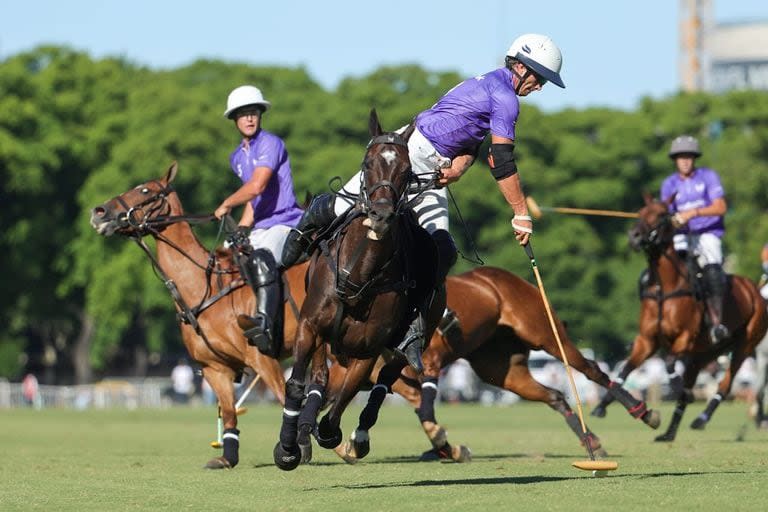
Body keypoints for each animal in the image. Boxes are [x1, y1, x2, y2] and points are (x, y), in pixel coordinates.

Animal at [89, 163, 306, 468]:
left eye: (145, 190)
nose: (99, 212)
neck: (206, 288)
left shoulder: (261, 358)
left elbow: (284, 397)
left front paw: (298, 449)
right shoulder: (215, 367)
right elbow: (229, 412)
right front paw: (226, 457)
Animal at [272, 111, 448, 472]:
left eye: (407, 170)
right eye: (368, 163)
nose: (380, 215)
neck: (359, 277)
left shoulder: (368, 350)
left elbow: (344, 400)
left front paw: (328, 434)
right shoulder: (310, 326)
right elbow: (299, 384)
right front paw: (288, 447)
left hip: (407, 343)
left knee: (384, 382)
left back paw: (358, 436)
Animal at [332, 266, 664, 462]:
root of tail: (509, 277)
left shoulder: (429, 362)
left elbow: (425, 408)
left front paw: (445, 445)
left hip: (544, 332)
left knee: (590, 369)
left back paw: (644, 413)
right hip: (501, 369)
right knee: (554, 395)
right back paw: (591, 442)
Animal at [592, 194, 764, 442]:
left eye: (662, 215)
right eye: (640, 211)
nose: (634, 237)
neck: (665, 287)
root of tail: (755, 289)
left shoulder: (685, 337)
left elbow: (670, 363)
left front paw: (676, 387)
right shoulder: (647, 340)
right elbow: (624, 370)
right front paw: (601, 406)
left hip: (745, 343)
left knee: (726, 383)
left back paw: (701, 419)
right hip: (704, 353)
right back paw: (669, 433)